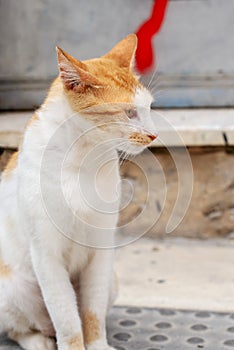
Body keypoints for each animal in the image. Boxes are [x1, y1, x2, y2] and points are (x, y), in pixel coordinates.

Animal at [0, 33, 157, 350]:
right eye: (129, 112)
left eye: (148, 107)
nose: (154, 134)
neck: (83, 158)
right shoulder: (46, 255)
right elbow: (67, 319)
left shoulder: (101, 250)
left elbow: (91, 312)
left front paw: (97, 345)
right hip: (12, 288)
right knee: (21, 328)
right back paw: (38, 341)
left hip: (113, 281)